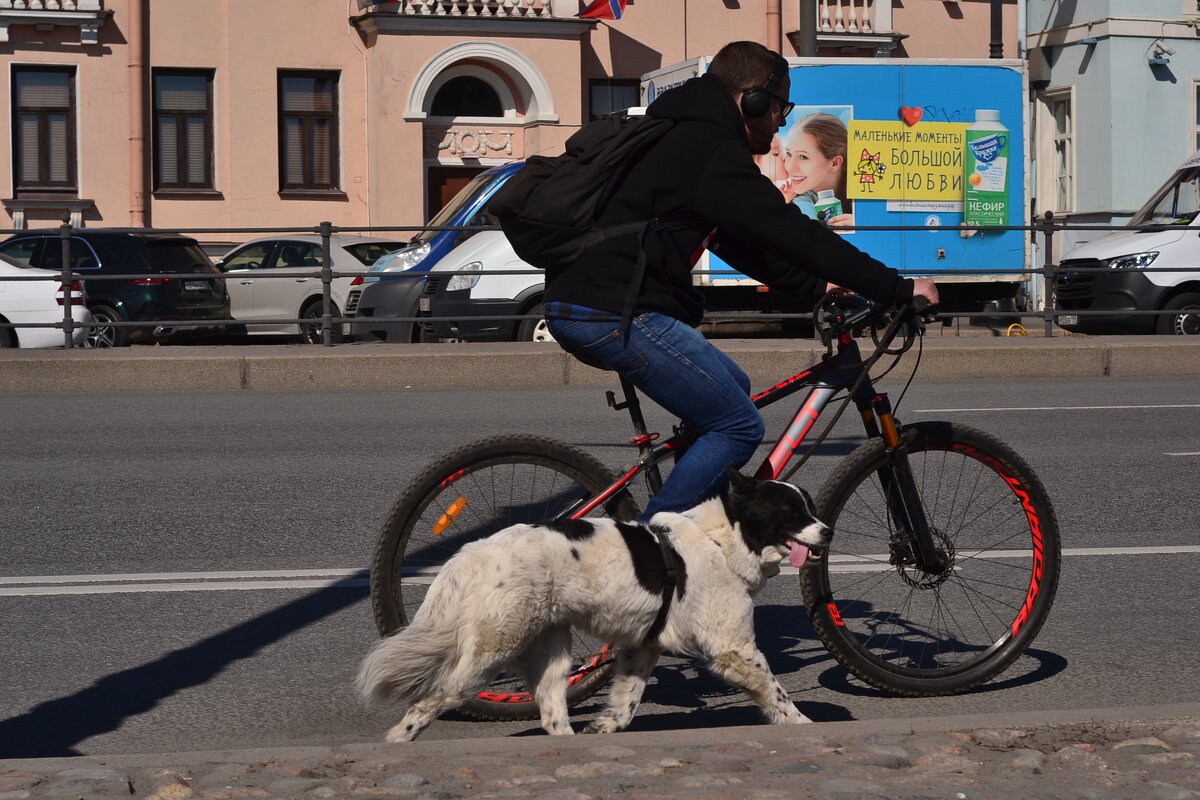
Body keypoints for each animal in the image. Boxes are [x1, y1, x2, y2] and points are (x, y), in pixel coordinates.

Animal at [350, 465, 830, 743]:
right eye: (792, 512)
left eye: (811, 508)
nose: (827, 531)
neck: (723, 539)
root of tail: (475, 551)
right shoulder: (735, 649)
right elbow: (779, 695)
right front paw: (805, 730)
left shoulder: (642, 647)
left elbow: (625, 703)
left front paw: (605, 728)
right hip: (490, 652)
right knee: (429, 701)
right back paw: (397, 743)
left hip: (549, 654)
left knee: (552, 714)